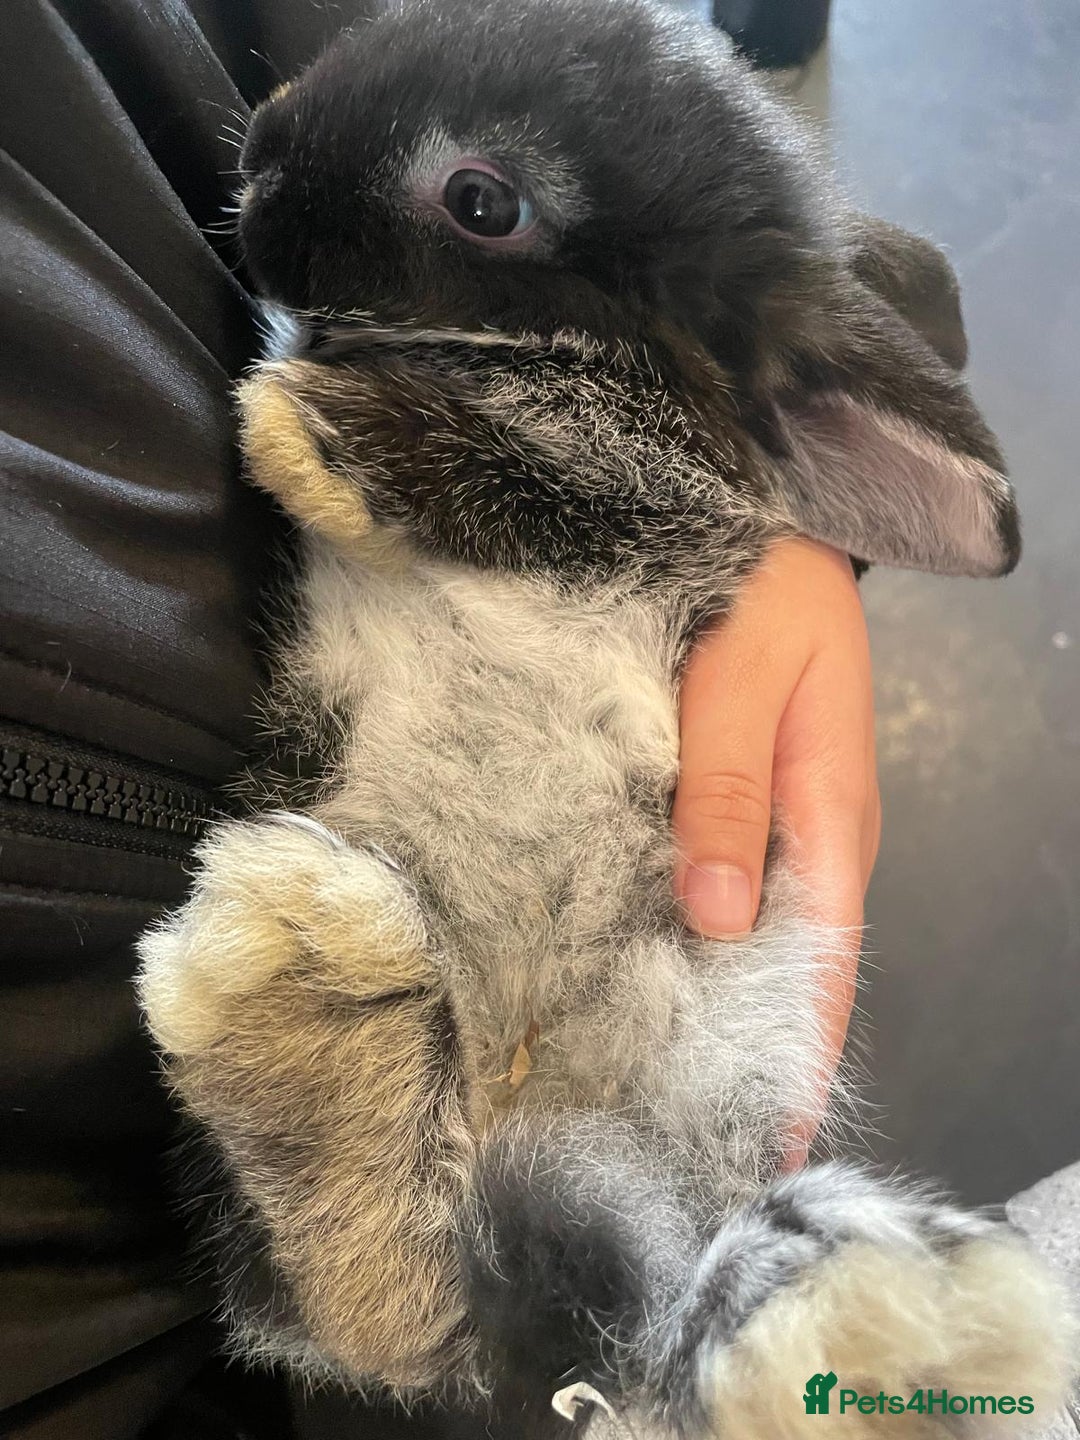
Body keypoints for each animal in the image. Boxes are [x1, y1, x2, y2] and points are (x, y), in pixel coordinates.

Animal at [136, 1, 1077, 1435]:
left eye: (482, 201)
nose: (266, 153)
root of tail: (508, 1100)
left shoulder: (668, 485)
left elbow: (592, 457)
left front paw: (319, 429)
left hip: (681, 1086)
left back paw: (878, 1324)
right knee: (381, 1299)